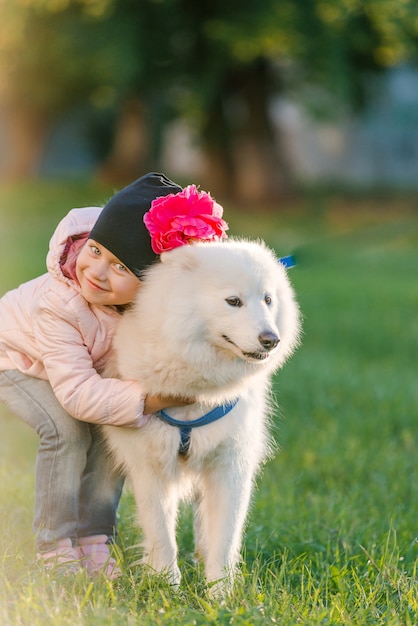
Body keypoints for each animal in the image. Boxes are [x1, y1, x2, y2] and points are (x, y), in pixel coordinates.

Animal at [103, 238, 300, 588]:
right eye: (233, 301)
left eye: (268, 299)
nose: (271, 340)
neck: (197, 391)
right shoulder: (150, 466)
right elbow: (162, 535)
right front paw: (168, 588)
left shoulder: (230, 465)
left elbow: (224, 536)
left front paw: (220, 592)